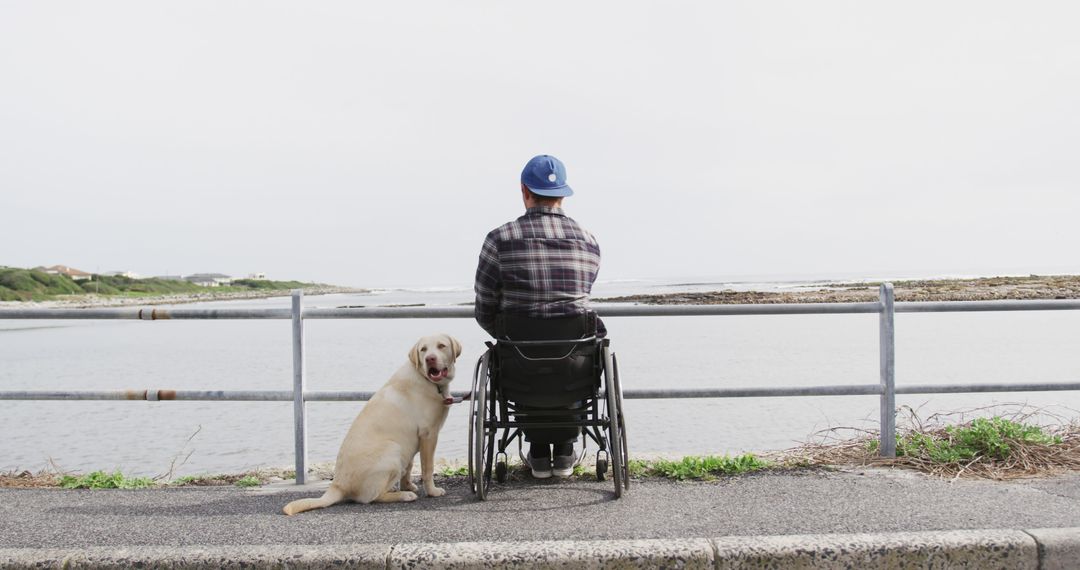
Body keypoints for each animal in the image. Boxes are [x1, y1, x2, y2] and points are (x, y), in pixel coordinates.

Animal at [280, 334, 462, 516]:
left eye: (441, 346)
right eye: (423, 349)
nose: (430, 359)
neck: (426, 379)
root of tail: (338, 485)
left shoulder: (413, 439)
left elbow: (410, 466)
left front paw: (408, 485)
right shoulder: (428, 434)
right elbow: (427, 468)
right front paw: (432, 491)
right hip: (393, 450)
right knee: (372, 498)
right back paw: (403, 495)